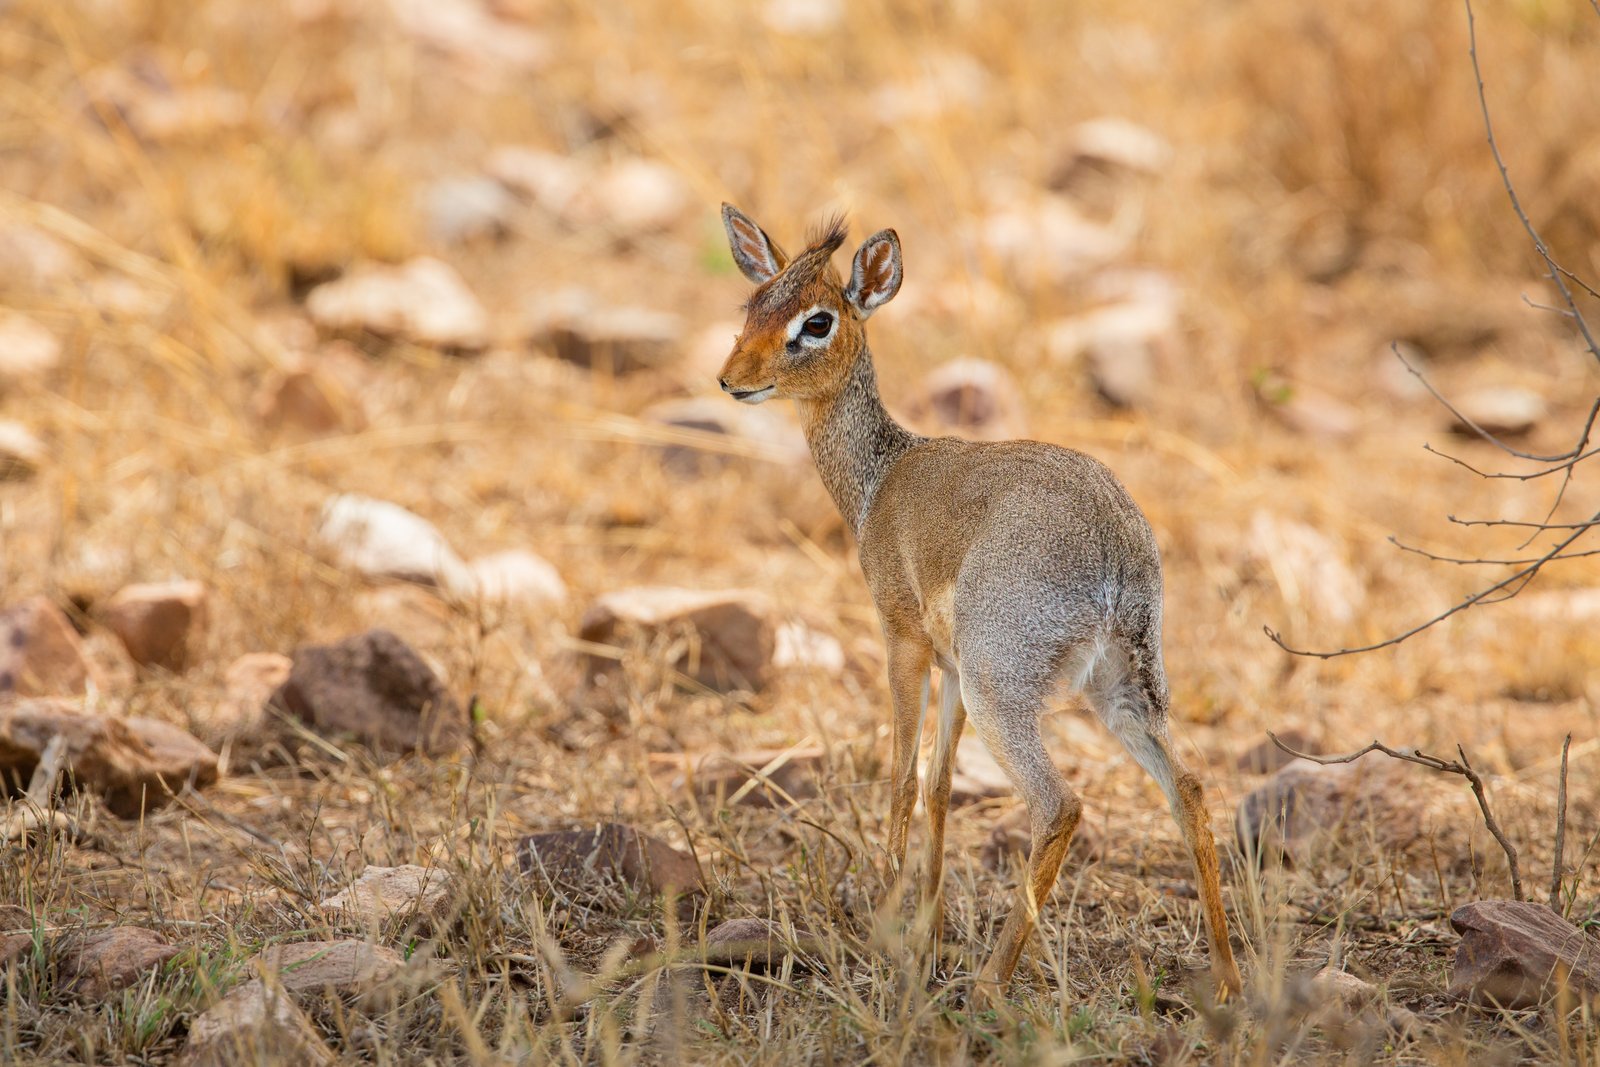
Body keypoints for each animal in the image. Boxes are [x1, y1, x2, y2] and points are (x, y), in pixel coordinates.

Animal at [715, 204, 1243, 1005]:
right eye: (755, 303)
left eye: (817, 321)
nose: (732, 379)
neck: (881, 476)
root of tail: (1114, 542)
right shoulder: (952, 669)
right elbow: (938, 788)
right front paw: (925, 938)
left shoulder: (902, 642)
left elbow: (902, 779)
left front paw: (885, 936)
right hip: (1119, 687)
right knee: (1189, 786)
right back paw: (1228, 980)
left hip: (1007, 689)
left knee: (1060, 804)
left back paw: (992, 981)